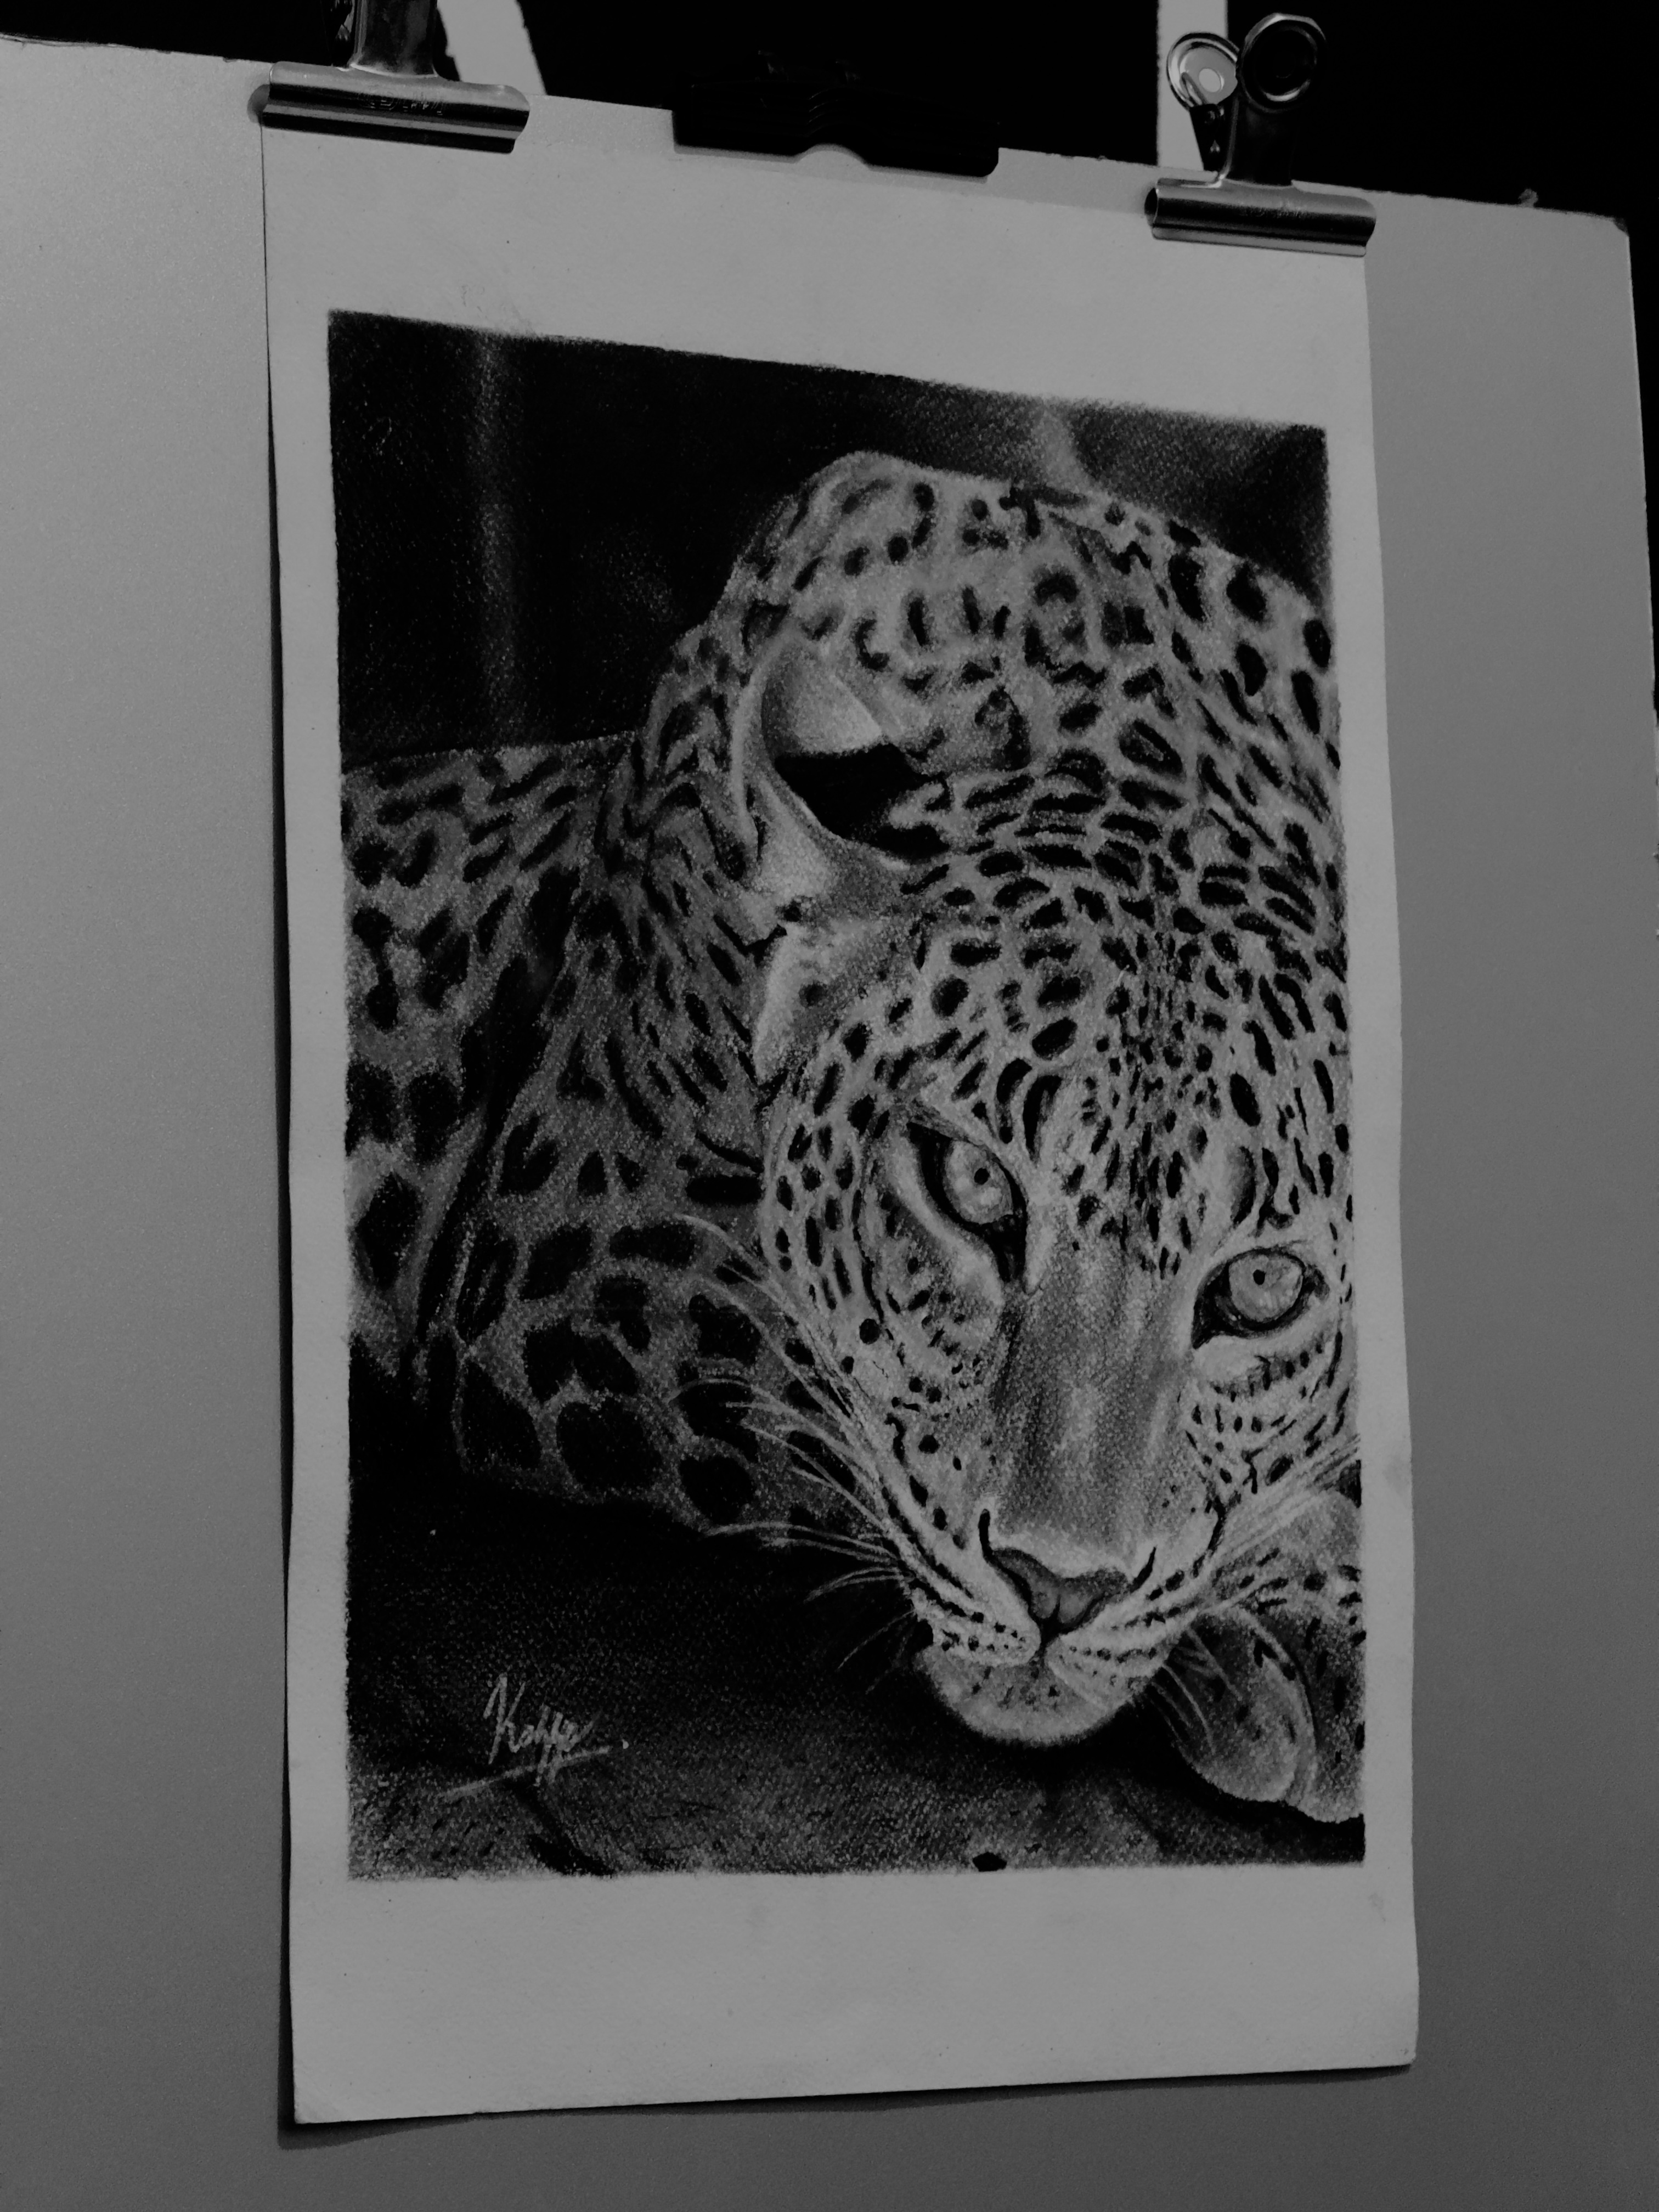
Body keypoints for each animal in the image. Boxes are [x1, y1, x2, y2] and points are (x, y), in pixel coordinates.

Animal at [341, 448, 1362, 1826]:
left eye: (1259, 1288)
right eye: (973, 1187)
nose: (1058, 1590)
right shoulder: (563, 1257)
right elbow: (832, 1378)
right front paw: (1292, 1617)